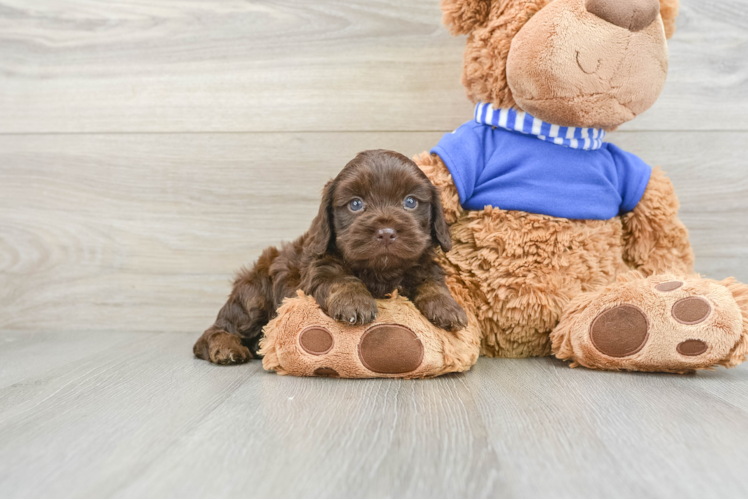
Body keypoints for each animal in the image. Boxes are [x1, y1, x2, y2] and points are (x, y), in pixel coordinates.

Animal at [196, 148, 470, 364]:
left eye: (411, 202)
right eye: (356, 204)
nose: (386, 233)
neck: (380, 271)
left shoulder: (422, 264)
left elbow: (431, 282)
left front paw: (447, 308)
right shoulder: (320, 267)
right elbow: (341, 279)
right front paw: (355, 303)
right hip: (254, 297)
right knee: (216, 330)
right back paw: (226, 348)